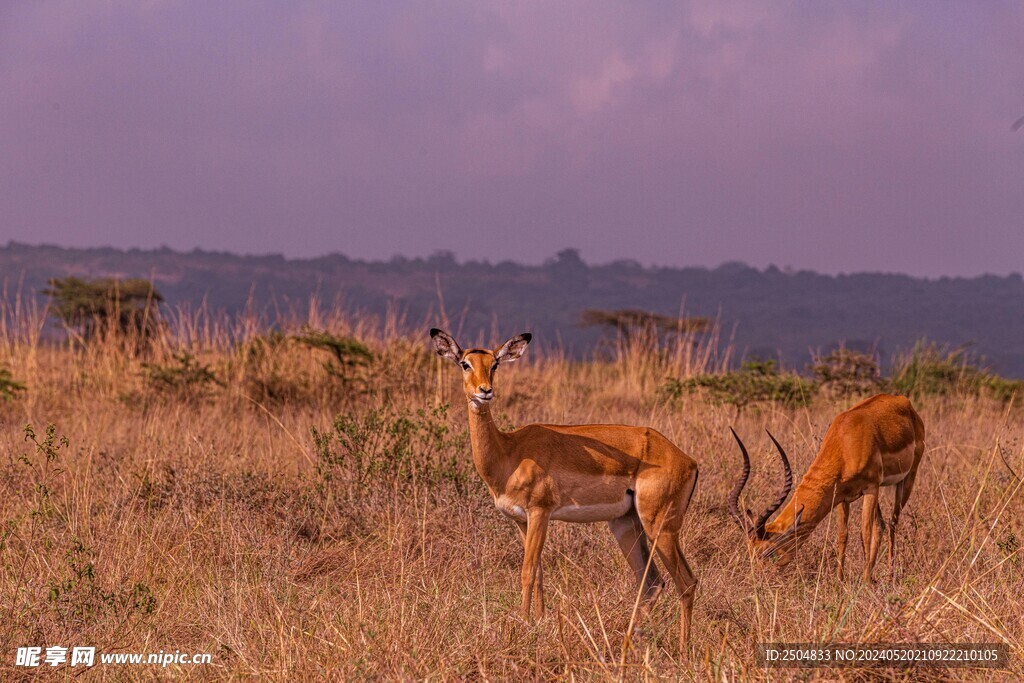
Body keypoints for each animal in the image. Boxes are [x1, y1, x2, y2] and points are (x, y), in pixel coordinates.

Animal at [429, 328, 700, 649]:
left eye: (494, 364)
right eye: (464, 363)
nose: (485, 391)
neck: (509, 452)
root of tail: (687, 460)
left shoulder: (540, 512)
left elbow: (527, 572)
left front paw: (522, 625)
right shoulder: (522, 520)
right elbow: (538, 572)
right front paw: (538, 622)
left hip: (660, 526)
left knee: (686, 582)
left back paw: (683, 648)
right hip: (625, 525)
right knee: (652, 584)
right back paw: (628, 640)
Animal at [728, 393, 925, 582]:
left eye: (768, 552)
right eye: (750, 551)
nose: (760, 579)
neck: (846, 441)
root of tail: (905, 402)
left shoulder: (871, 488)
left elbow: (864, 533)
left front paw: (865, 582)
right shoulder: (842, 495)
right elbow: (843, 535)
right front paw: (839, 581)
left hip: (907, 479)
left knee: (892, 524)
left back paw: (888, 576)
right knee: (881, 525)